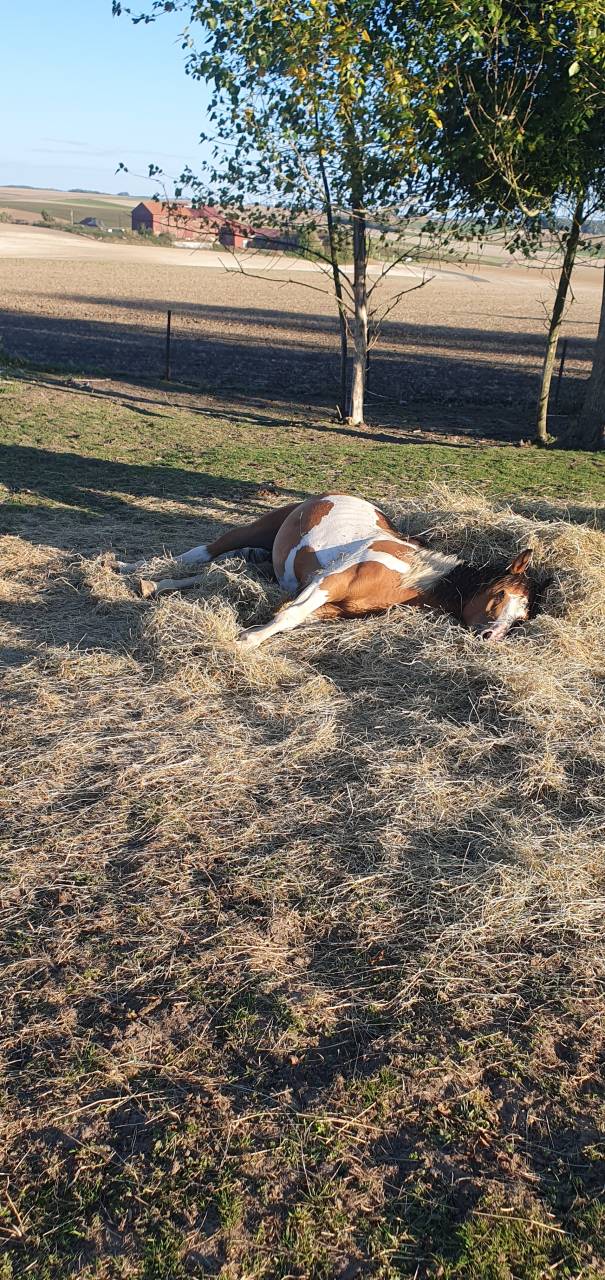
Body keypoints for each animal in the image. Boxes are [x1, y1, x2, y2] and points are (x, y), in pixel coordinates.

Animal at [112, 493, 535, 649]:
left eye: (521, 616)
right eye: (499, 595)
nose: (492, 636)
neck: (409, 573)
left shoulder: (329, 606)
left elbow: (290, 616)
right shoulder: (327, 582)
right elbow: (289, 615)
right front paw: (246, 641)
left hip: (269, 567)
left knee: (217, 573)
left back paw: (151, 584)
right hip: (255, 528)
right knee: (201, 553)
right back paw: (126, 565)